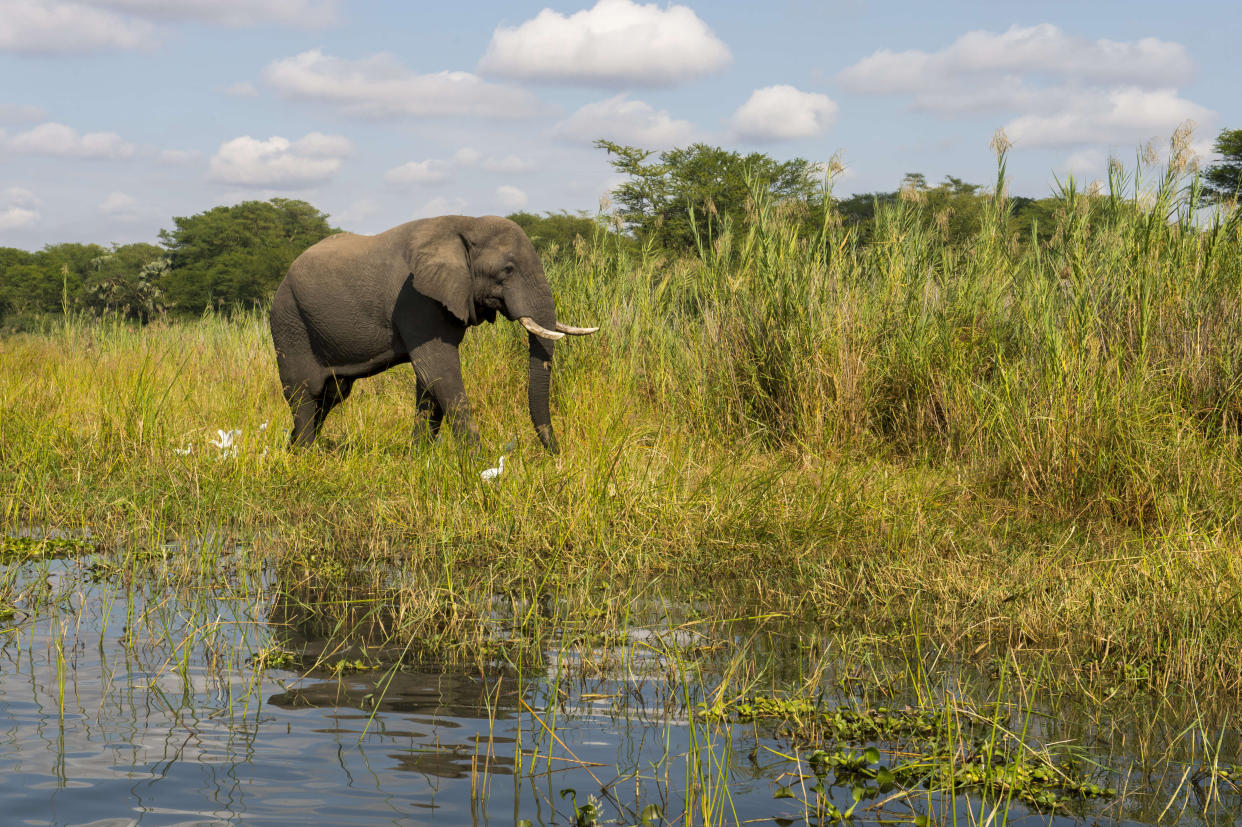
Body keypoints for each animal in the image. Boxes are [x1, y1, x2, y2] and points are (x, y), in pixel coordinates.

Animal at [270, 213, 596, 451]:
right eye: (508, 270)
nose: (556, 454)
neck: (466, 224)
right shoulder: (416, 298)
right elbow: (439, 369)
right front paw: (477, 462)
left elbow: (428, 380)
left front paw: (419, 458)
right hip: (289, 322)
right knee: (303, 393)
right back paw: (306, 456)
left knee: (331, 395)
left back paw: (293, 449)